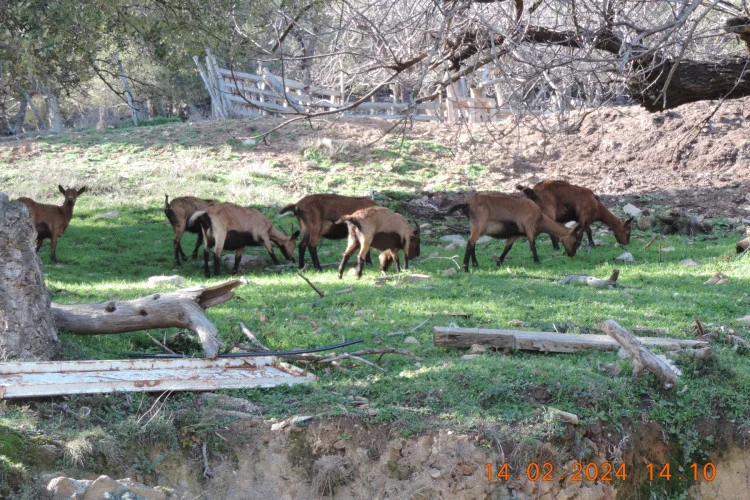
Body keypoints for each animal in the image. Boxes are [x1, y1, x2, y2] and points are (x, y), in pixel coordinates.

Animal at [446, 193, 583, 272]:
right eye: (576, 241)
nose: (572, 254)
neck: (540, 217)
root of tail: (466, 203)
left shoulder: (516, 234)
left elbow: (508, 248)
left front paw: (499, 262)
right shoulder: (529, 227)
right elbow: (533, 245)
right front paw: (537, 261)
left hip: (475, 227)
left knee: (473, 244)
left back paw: (475, 264)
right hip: (478, 225)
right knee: (470, 243)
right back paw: (466, 267)